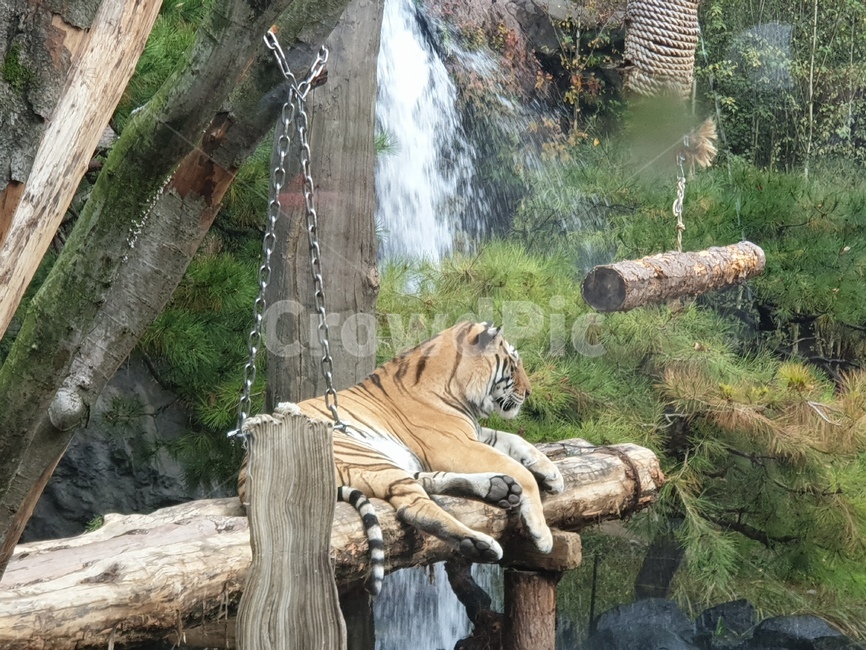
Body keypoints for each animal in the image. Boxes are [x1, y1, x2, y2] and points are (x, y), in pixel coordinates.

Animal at [238, 321, 565, 595]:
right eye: (514, 364)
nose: (529, 392)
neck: (459, 388)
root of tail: (243, 476)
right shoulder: (455, 444)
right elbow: (519, 470)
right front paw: (541, 534)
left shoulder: (472, 434)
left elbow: (516, 441)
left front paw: (553, 476)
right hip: (366, 455)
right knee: (413, 506)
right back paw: (479, 542)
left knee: (427, 481)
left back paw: (498, 488)